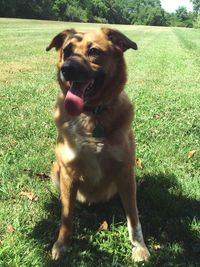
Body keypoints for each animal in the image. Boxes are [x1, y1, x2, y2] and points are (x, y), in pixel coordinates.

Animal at [46, 27, 150, 264]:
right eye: (67, 51)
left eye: (93, 51)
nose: (66, 69)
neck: (93, 116)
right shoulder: (68, 173)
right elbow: (67, 216)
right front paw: (62, 244)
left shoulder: (125, 172)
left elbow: (134, 217)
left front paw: (139, 247)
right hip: (56, 170)